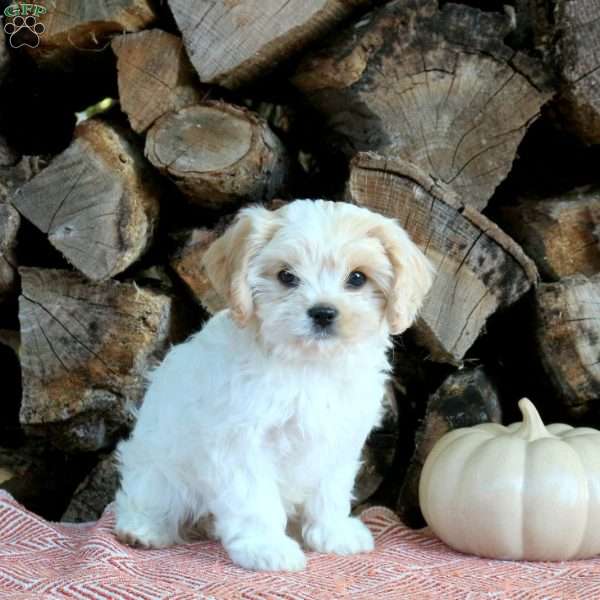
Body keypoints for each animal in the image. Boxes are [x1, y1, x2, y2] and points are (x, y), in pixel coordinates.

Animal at [113, 198, 432, 572]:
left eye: (357, 278)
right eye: (286, 276)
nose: (323, 312)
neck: (310, 366)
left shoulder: (340, 441)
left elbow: (331, 490)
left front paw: (333, 533)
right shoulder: (241, 443)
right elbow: (255, 500)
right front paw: (265, 547)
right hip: (159, 471)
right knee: (144, 498)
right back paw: (143, 529)